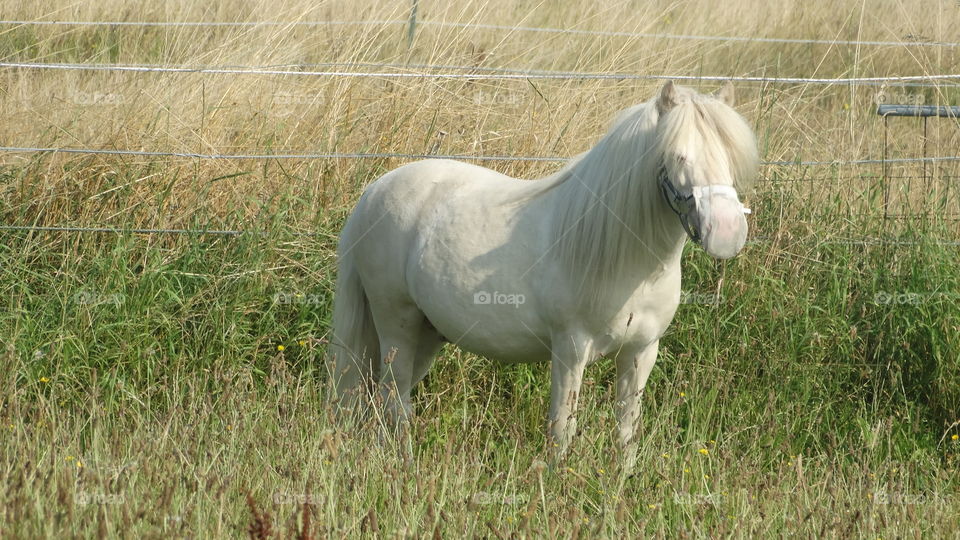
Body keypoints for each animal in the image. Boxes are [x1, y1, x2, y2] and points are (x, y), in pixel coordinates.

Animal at [330, 81, 758, 465]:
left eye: (730, 157)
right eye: (678, 156)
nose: (726, 233)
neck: (622, 258)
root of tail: (374, 191)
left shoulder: (641, 351)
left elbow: (626, 430)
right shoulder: (570, 349)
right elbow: (562, 429)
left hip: (427, 333)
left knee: (381, 396)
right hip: (396, 324)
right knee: (393, 397)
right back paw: (401, 464)